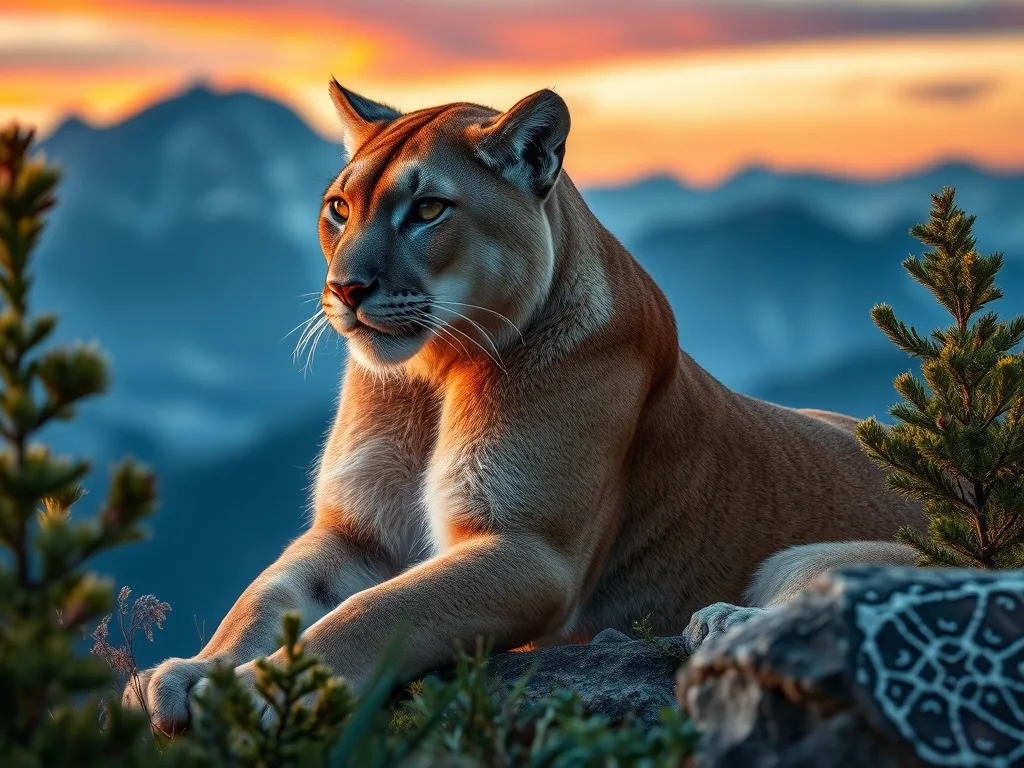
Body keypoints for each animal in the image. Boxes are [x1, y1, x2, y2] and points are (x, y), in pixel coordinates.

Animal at [125, 82, 924, 731]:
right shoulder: (356, 534)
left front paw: (260, 690)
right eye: (339, 208)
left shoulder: (529, 548)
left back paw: (720, 624)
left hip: (812, 555)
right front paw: (189, 674)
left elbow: (377, 611)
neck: (433, 376)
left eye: (428, 208)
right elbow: (264, 596)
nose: (345, 289)